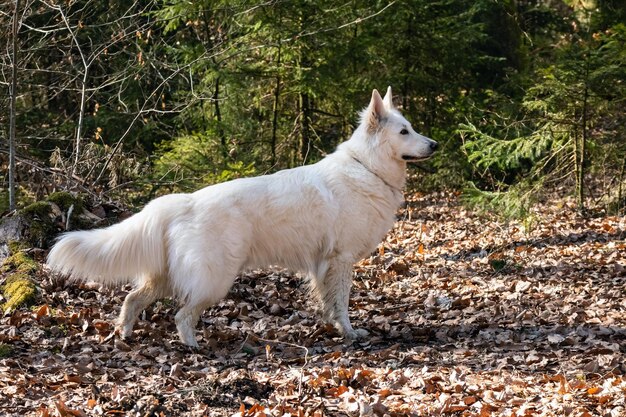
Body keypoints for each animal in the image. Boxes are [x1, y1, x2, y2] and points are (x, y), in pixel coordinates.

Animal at [46, 87, 436, 344]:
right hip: (214, 279)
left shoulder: (326, 264)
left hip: (170, 276)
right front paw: (350, 332)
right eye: (404, 131)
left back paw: (125, 333)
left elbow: (327, 302)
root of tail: (182, 202)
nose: (434, 144)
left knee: (133, 299)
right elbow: (341, 302)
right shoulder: (340, 260)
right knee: (181, 315)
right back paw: (192, 346)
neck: (366, 167)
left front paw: (335, 328)